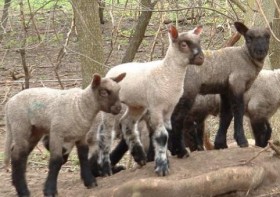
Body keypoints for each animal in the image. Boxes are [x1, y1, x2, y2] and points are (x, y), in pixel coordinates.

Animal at [97, 23, 206, 176]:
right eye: (184, 44)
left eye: (199, 42)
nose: (201, 58)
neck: (166, 72)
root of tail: (111, 71)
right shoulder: (156, 107)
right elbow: (161, 135)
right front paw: (162, 167)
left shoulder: (169, 107)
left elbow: (169, 131)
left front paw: (173, 155)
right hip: (109, 107)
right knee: (105, 133)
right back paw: (106, 169)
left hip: (137, 105)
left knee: (127, 123)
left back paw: (140, 157)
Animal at [168, 21, 272, 157]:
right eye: (249, 38)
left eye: (268, 37)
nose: (260, 51)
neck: (245, 57)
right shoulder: (236, 83)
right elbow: (238, 111)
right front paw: (242, 141)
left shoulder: (225, 90)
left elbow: (226, 115)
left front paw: (220, 144)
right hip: (188, 91)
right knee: (177, 119)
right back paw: (181, 151)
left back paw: (173, 151)